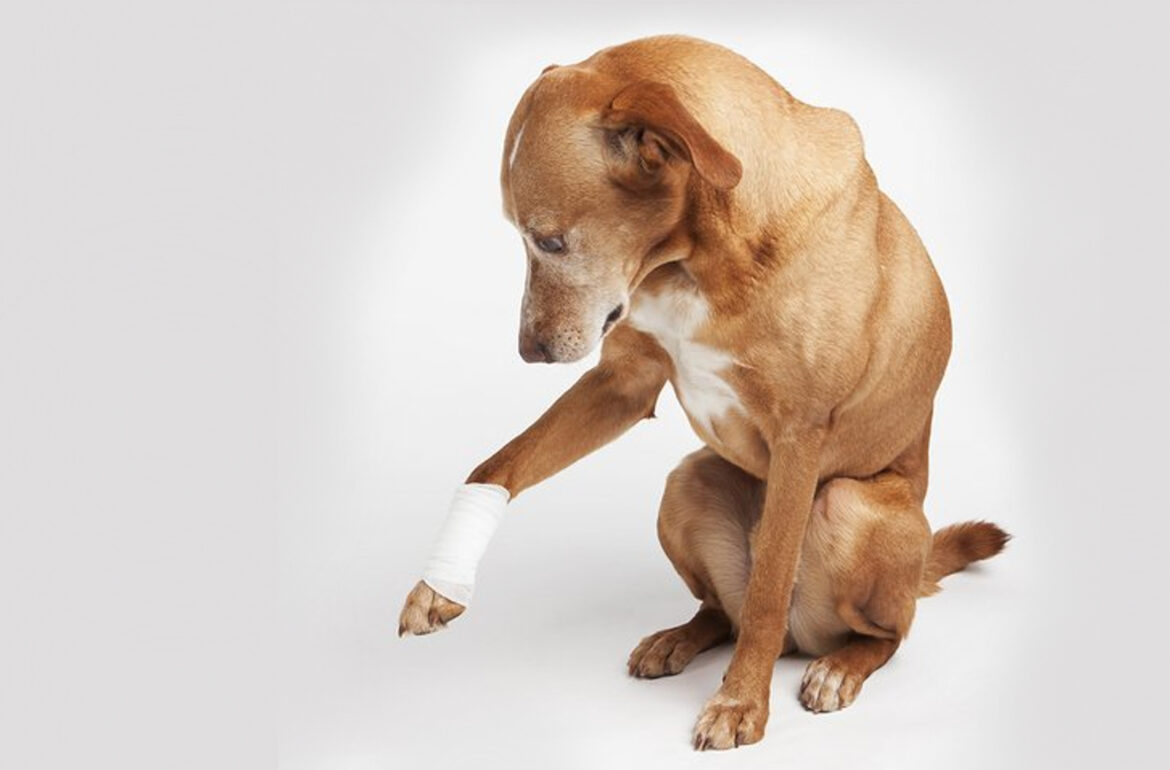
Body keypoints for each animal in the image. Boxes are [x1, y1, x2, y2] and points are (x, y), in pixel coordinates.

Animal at [395, 33, 1006, 748]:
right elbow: (499, 463)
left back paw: (839, 665)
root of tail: (806, 638)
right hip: (687, 483)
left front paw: (741, 704)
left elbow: (770, 589)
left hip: (851, 506)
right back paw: (682, 638)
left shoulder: (799, 438)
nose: (530, 351)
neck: (703, 256)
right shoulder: (624, 384)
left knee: (880, 631)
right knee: (723, 611)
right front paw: (439, 584)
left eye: (550, 240)